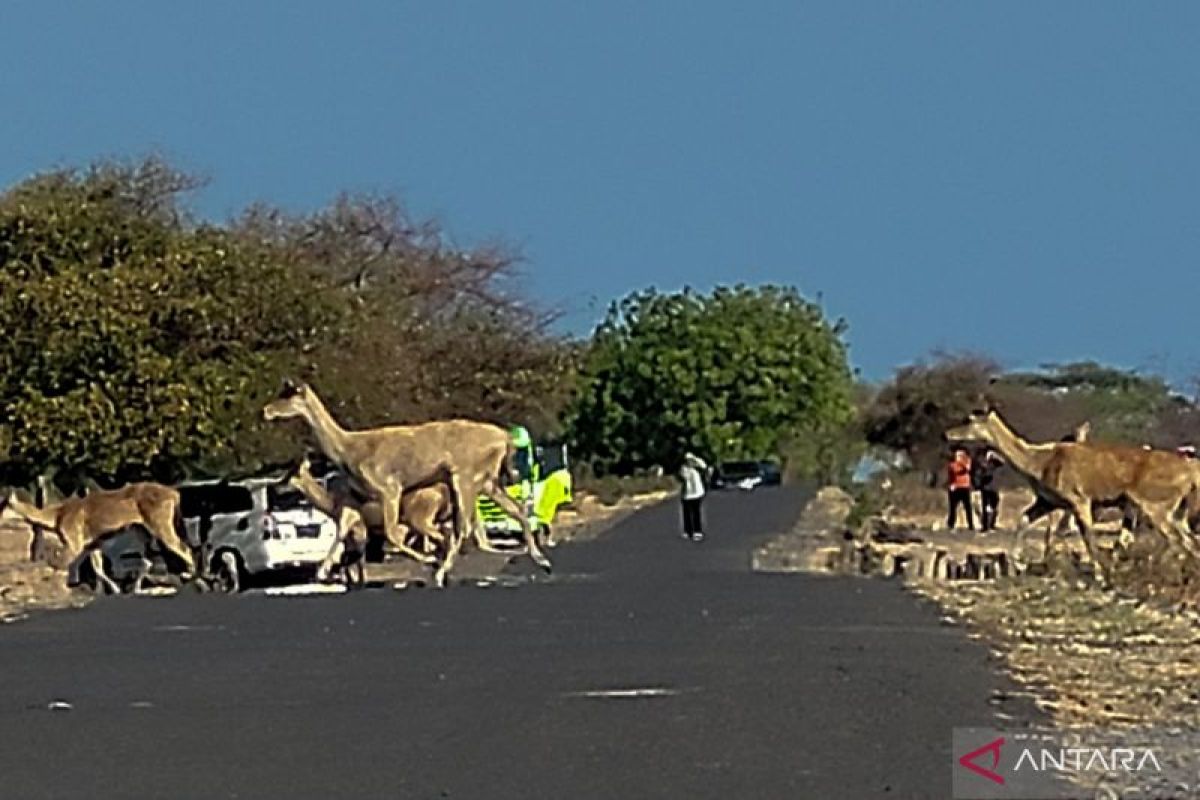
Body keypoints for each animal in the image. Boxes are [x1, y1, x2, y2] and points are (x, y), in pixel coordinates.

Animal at [0, 482, 196, 594]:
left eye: (4, 505)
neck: (56, 517)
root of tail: (175, 495)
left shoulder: (75, 541)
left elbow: (60, 563)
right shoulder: (92, 544)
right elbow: (98, 568)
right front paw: (112, 591)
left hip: (159, 523)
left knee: (182, 548)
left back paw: (190, 576)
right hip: (147, 531)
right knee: (153, 558)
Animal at [283, 460, 451, 585]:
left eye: (292, 473)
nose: (281, 486)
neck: (332, 503)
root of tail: (442, 491)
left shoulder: (350, 520)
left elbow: (341, 542)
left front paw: (322, 574)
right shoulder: (360, 530)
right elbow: (356, 556)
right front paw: (355, 580)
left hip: (418, 520)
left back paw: (433, 565)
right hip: (427, 520)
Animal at [945, 410, 1200, 578]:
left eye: (969, 420)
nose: (947, 434)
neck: (1039, 462)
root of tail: (1190, 473)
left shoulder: (1080, 501)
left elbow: (1087, 536)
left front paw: (1100, 575)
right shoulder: (1049, 502)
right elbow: (1025, 519)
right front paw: (1019, 564)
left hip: (1155, 508)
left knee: (1177, 540)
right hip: (1175, 512)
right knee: (1187, 541)